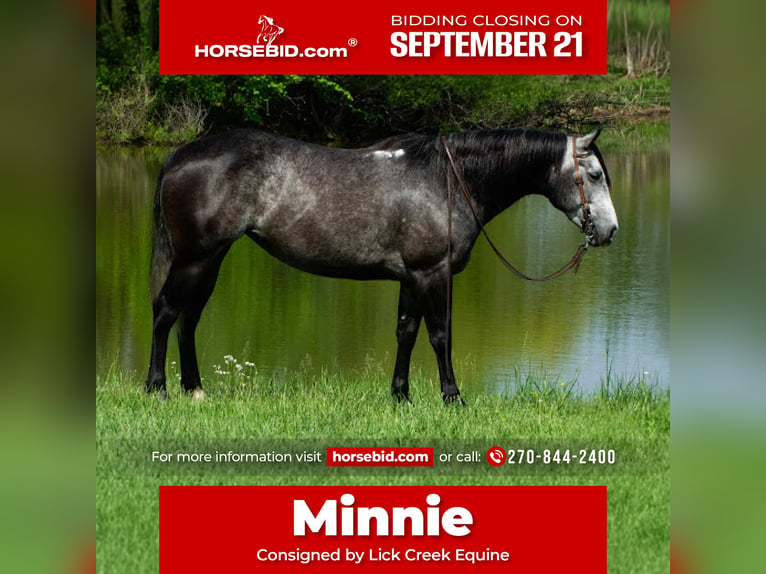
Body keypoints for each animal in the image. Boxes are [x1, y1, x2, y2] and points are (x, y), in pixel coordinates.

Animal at [144, 128, 617, 404]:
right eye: (594, 174)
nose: (610, 230)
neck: (446, 179)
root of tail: (180, 155)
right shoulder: (433, 273)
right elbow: (440, 335)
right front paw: (453, 397)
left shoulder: (412, 277)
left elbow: (406, 333)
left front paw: (401, 396)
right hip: (196, 259)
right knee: (166, 312)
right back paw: (157, 388)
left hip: (210, 261)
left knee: (188, 319)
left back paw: (194, 389)